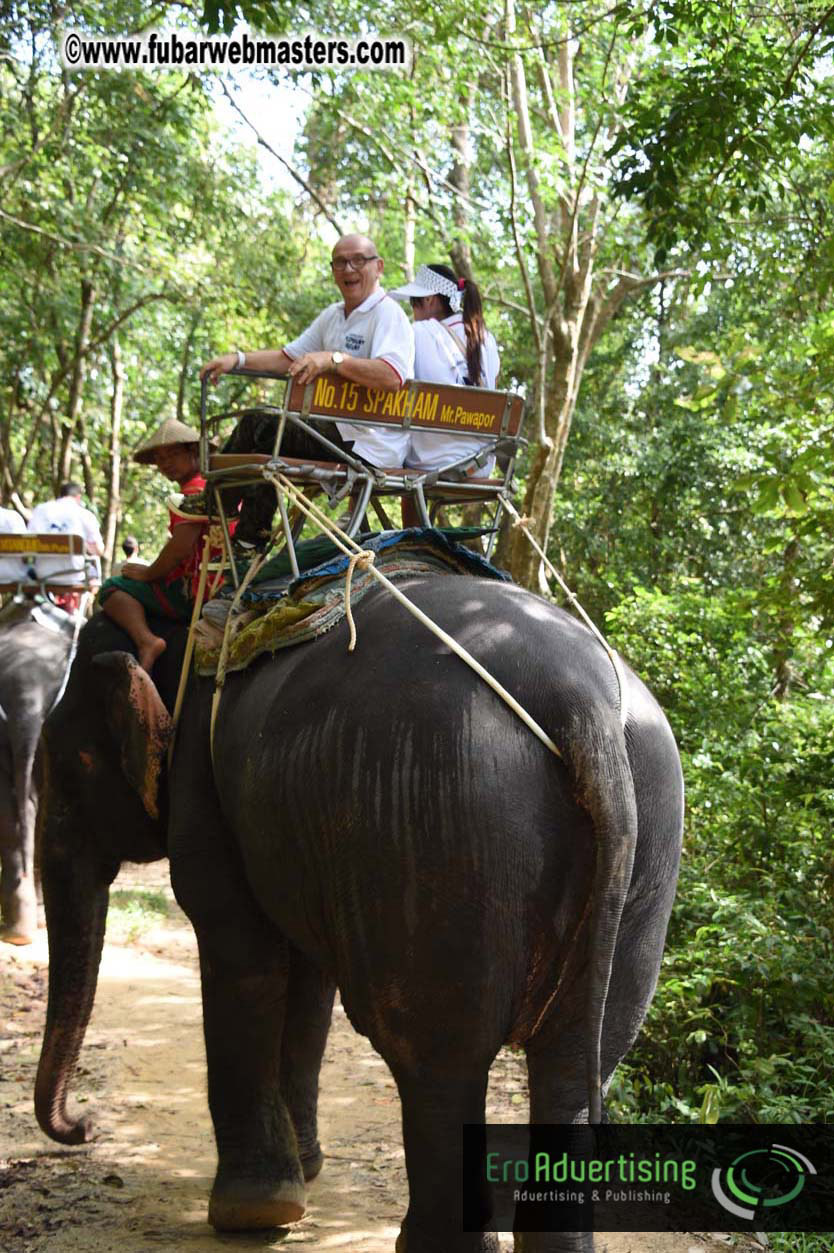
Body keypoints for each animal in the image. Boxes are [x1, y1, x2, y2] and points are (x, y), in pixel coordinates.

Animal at [34, 575, 684, 1253]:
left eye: (63, 762)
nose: (85, 1125)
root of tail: (585, 706)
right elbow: (307, 980)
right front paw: (304, 1168)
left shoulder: (201, 787)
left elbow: (239, 949)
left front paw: (254, 1212)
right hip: (642, 835)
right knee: (580, 1056)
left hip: (436, 818)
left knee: (434, 1054)